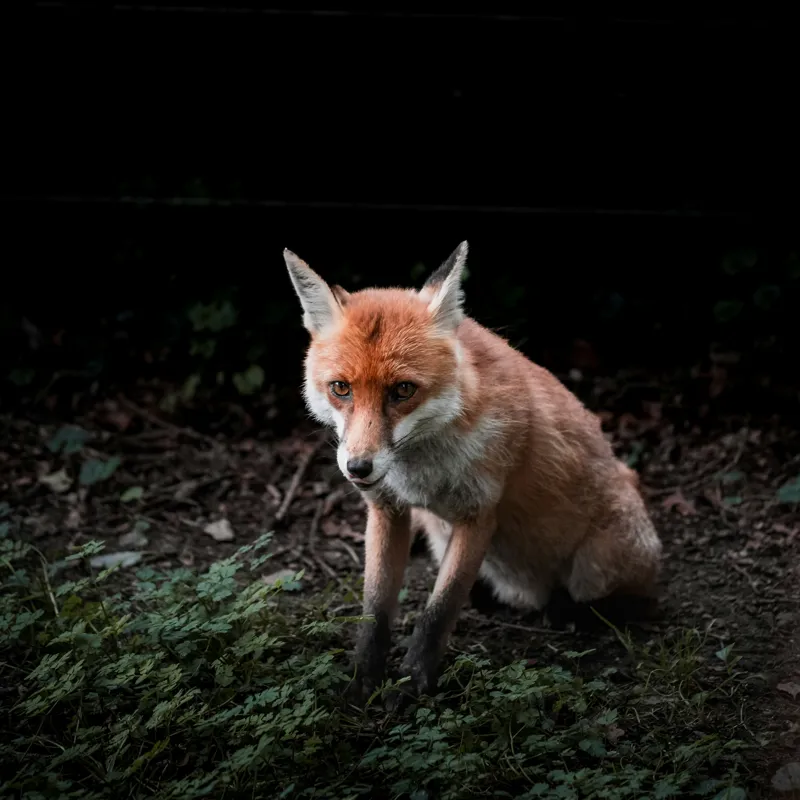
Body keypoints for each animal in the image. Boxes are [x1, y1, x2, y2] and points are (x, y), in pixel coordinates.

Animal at [283, 241, 663, 706]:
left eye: (403, 390)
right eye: (341, 388)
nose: (358, 467)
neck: (422, 474)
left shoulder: (479, 514)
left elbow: (439, 610)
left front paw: (414, 683)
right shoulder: (388, 511)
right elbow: (375, 609)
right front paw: (364, 679)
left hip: (601, 562)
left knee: (628, 597)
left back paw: (574, 611)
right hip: (439, 534)